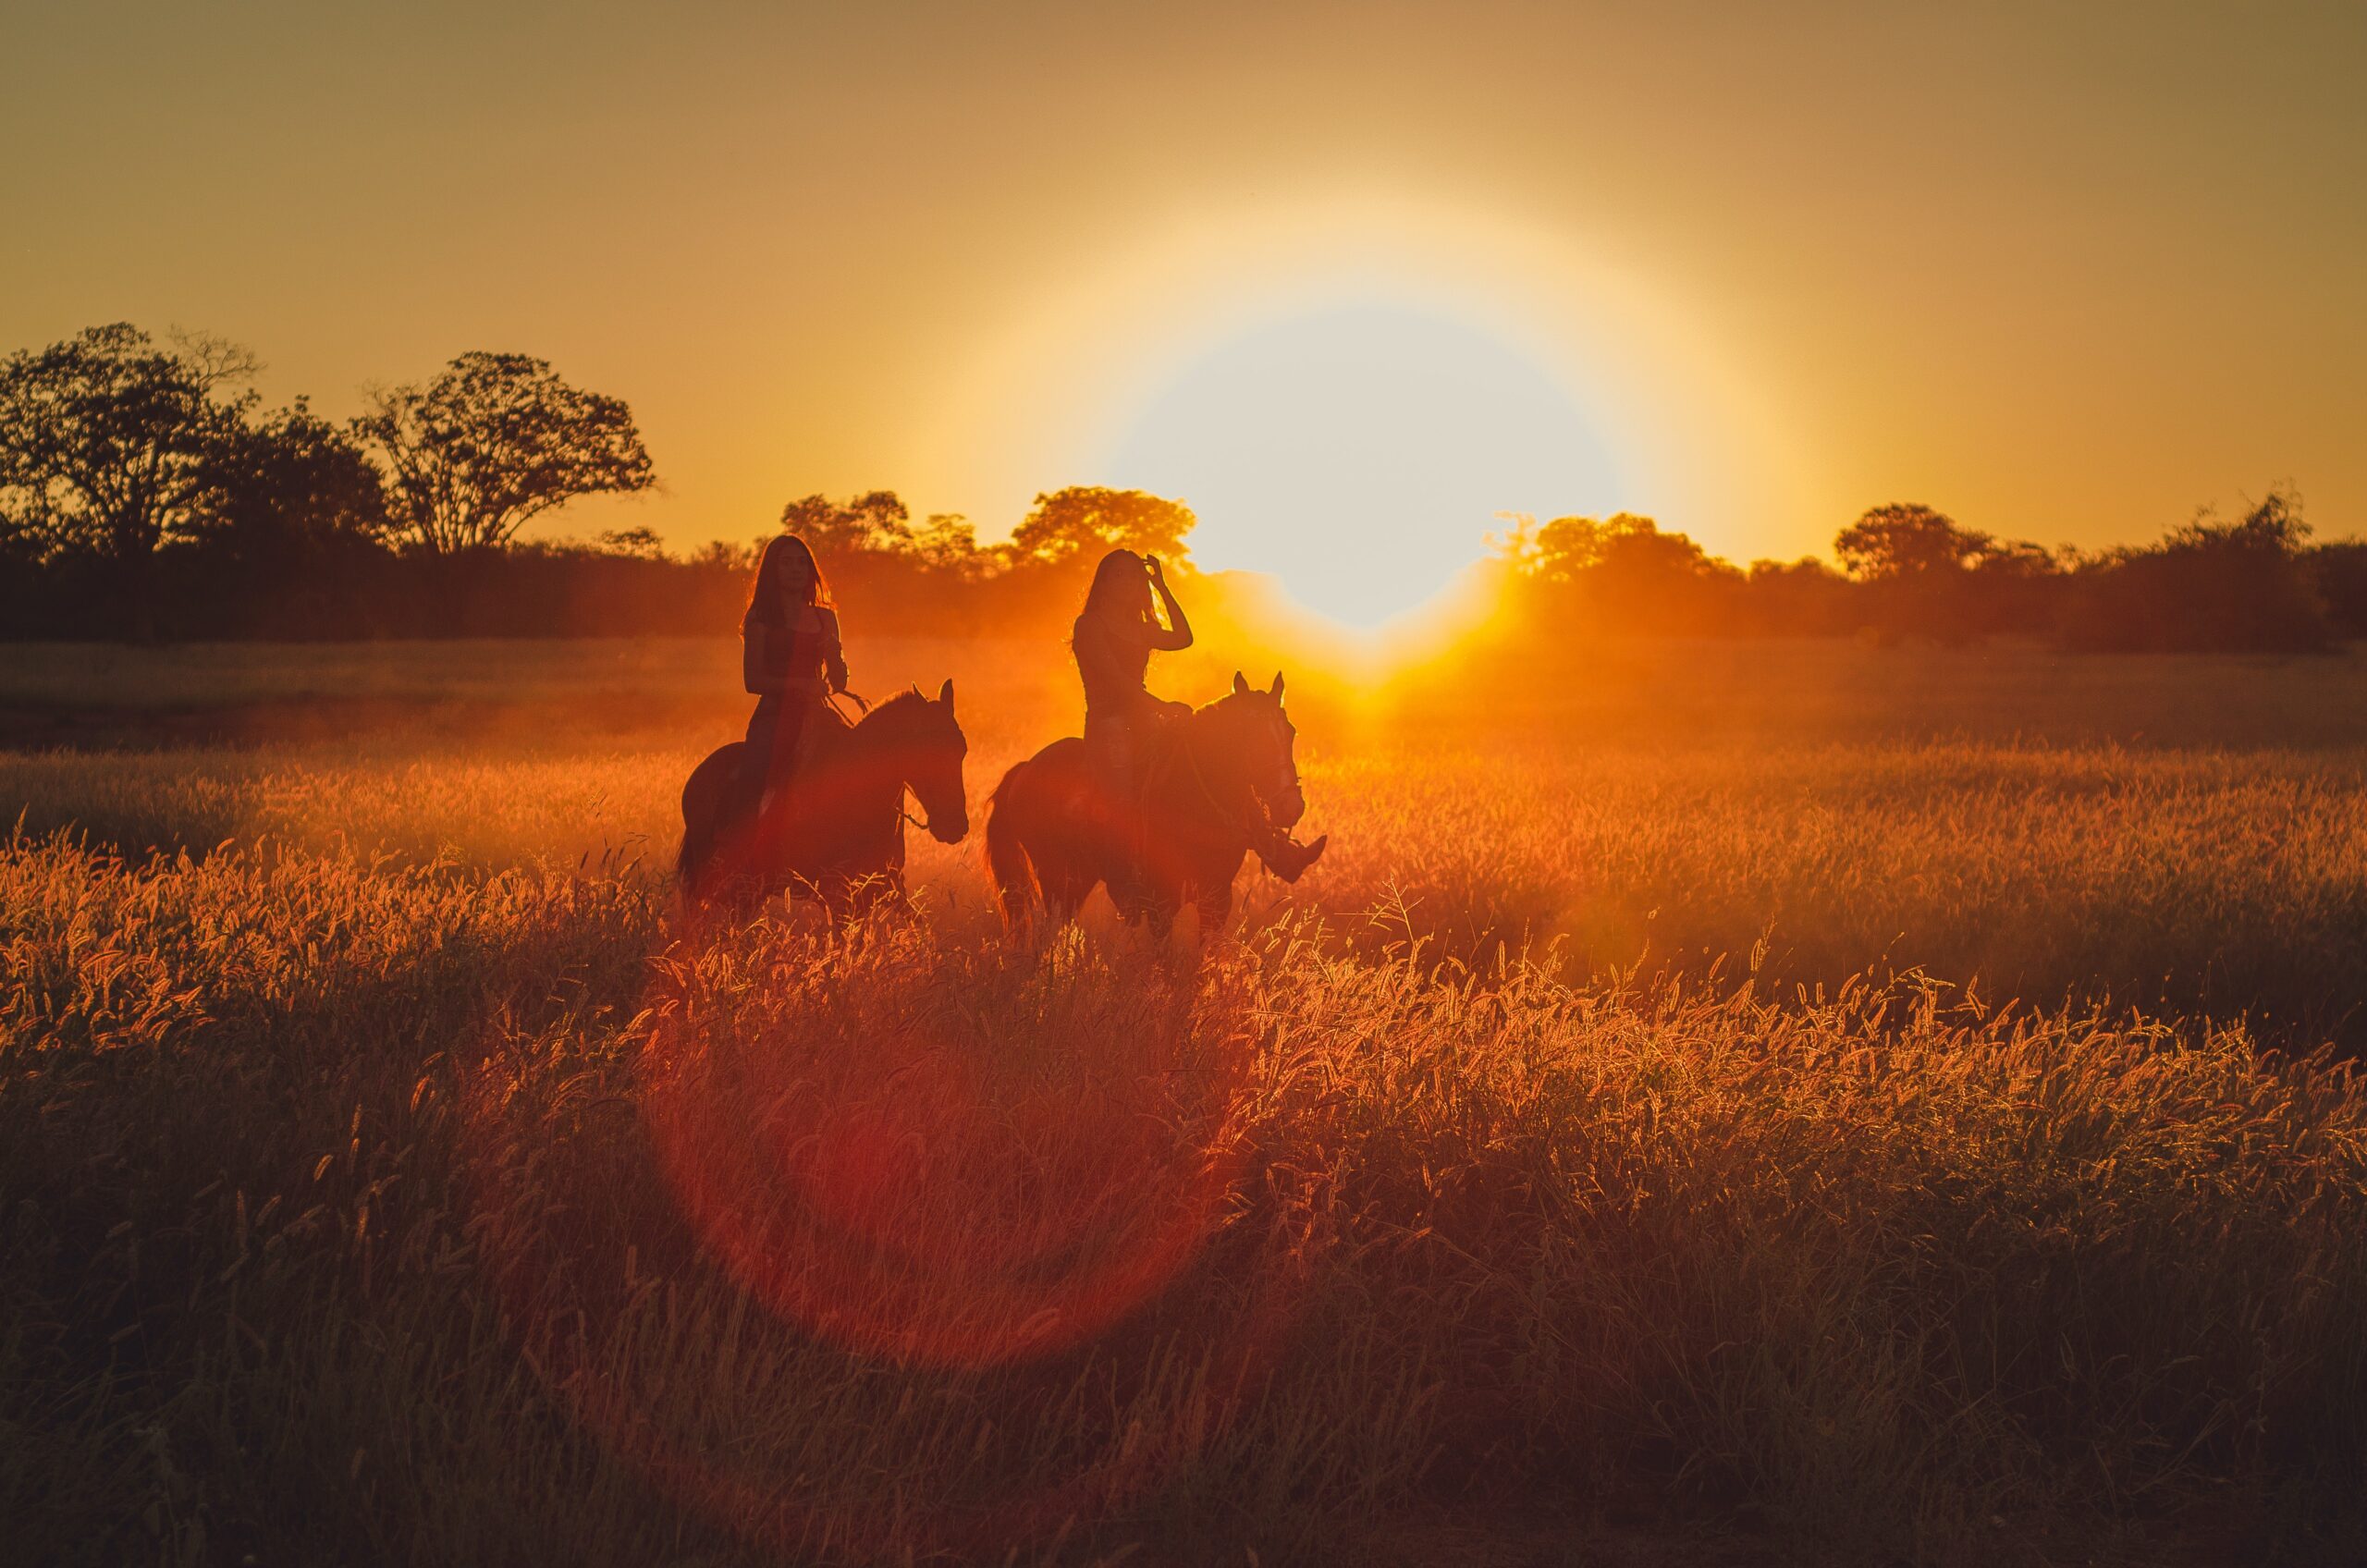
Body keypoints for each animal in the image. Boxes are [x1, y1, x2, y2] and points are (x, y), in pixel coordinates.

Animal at [979, 672, 1316, 937]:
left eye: (1291, 732)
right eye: (1250, 737)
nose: (1291, 806)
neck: (1192, 798)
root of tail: (1025, 768)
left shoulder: (1217, 900)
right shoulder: (1161, 904)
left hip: (1079, 879)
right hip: (1056, 879)